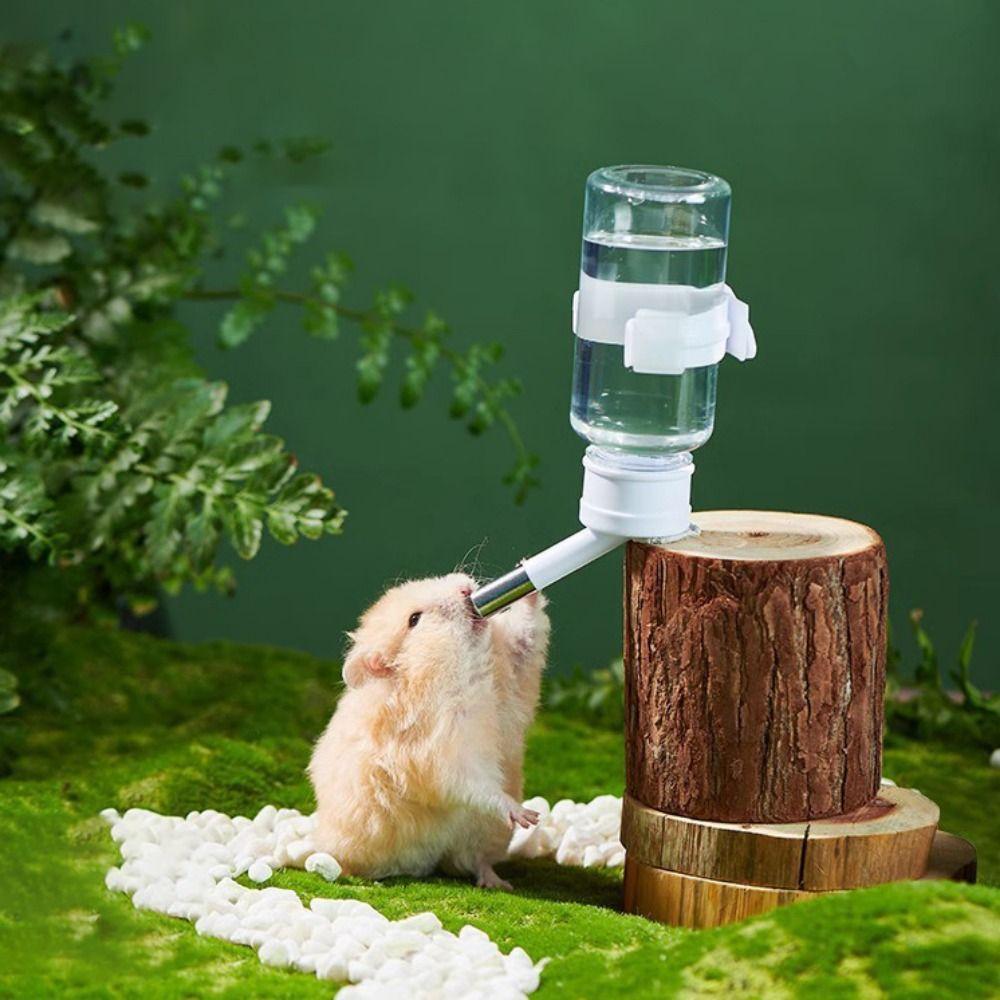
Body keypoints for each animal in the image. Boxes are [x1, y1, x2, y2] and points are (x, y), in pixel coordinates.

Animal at [308, 572, 550, 891]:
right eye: (414, 619)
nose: (465, 589)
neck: (468, 669)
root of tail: (427, 863)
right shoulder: (442, 757)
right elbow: (478, 785)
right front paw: (526, 815)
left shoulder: (513, 663)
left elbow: (527, 633)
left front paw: (528, 581)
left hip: (484, 834)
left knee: (476, 862)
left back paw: (498, 883)